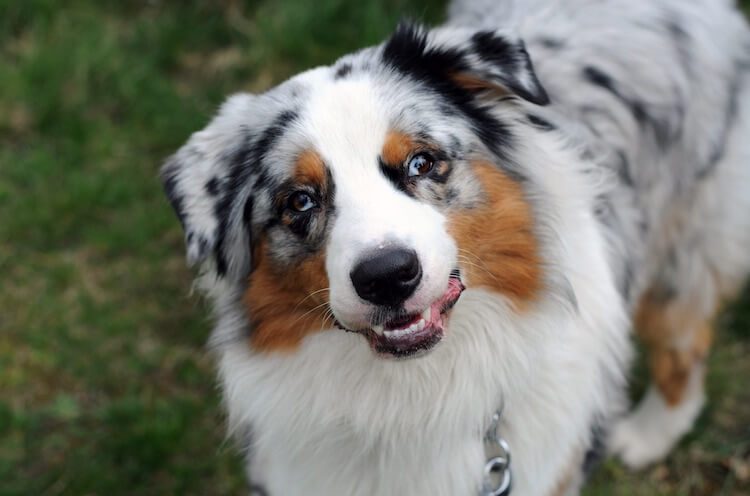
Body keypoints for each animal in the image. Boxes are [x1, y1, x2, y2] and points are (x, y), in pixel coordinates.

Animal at [160, 1, 750, 494]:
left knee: (685, 344)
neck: (415, 395)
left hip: (686, 247)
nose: (386, 275)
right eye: (299, 201)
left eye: (422, 162)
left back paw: (646, 436)